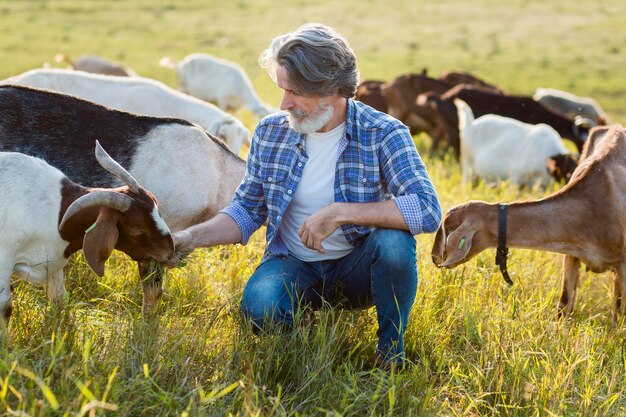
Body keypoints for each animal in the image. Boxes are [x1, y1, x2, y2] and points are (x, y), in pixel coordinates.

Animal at [0, 141, 176, 324]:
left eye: (158, 211)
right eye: (136, 229)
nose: (170, 253)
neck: (58, 215)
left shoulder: (53, 266)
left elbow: (59, 301)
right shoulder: (4, 260)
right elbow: (5, 308)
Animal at [420, 84, 588, 158]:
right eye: (582, 142)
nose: (583, 155)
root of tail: (443, 98)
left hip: (444, 126)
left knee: (436, 141)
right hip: (453, 130)